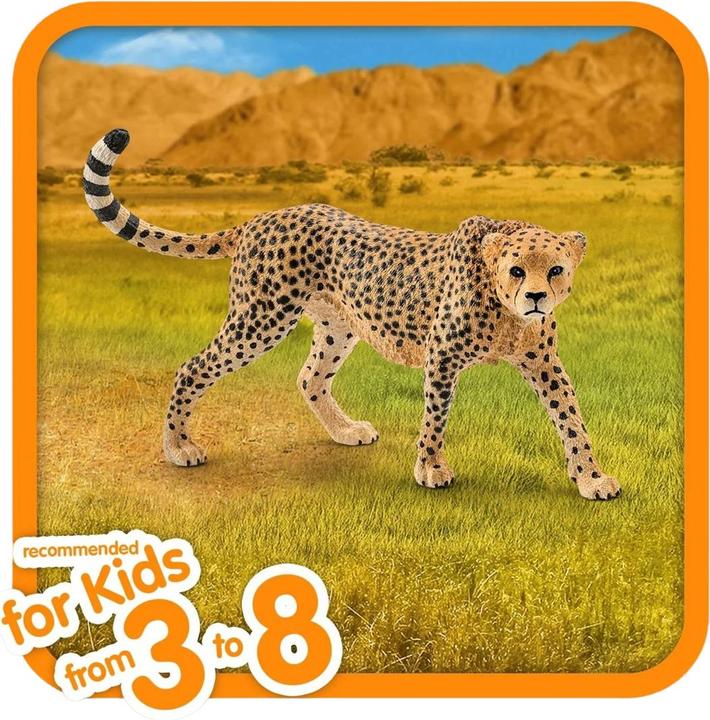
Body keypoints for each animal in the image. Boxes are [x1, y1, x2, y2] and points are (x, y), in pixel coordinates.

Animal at [82, 129, 621, 500]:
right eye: (516, 270)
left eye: (555, 269)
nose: (536, 297)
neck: (505, 310)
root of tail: (264, 216)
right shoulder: (443, 358)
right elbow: (436, 416)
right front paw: (430, 469)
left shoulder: (544, 363)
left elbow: (571, 418)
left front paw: (591, 478)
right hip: (261, 318)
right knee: (193, 367)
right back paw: (179, 447)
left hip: (337, 325)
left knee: (309, 377)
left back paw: (344, 431)